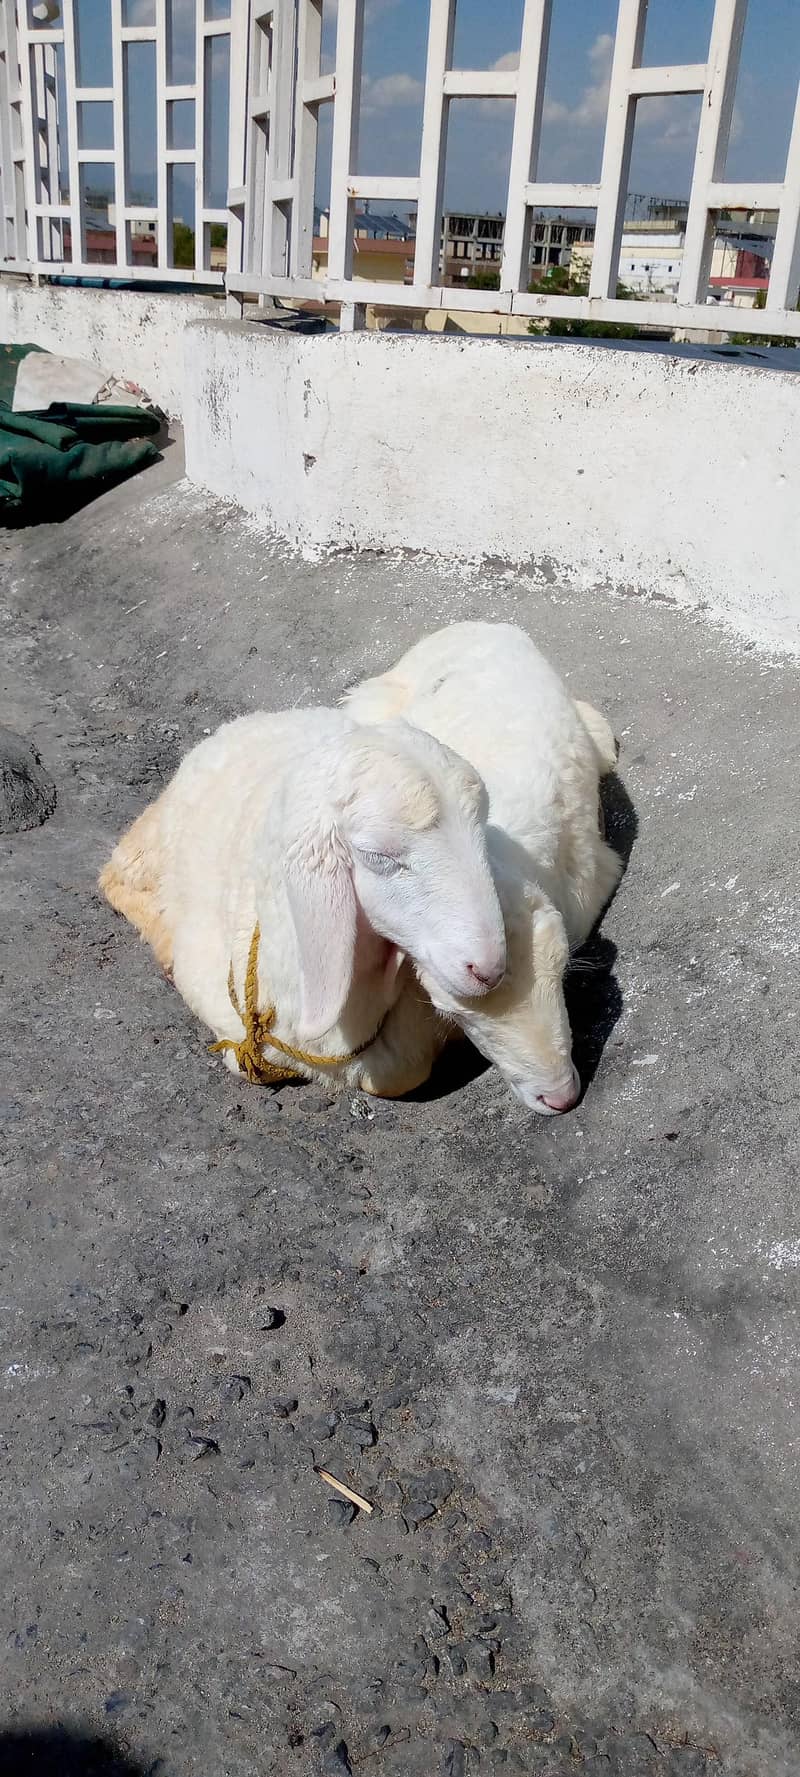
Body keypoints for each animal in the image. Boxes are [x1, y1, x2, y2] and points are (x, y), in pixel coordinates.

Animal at [99, 708, 507, 1098]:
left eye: (483, 838)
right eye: (378, 856)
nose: (489, 970)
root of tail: (256, 718)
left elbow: (399, 1074)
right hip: (152, 849)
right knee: (114, 878)